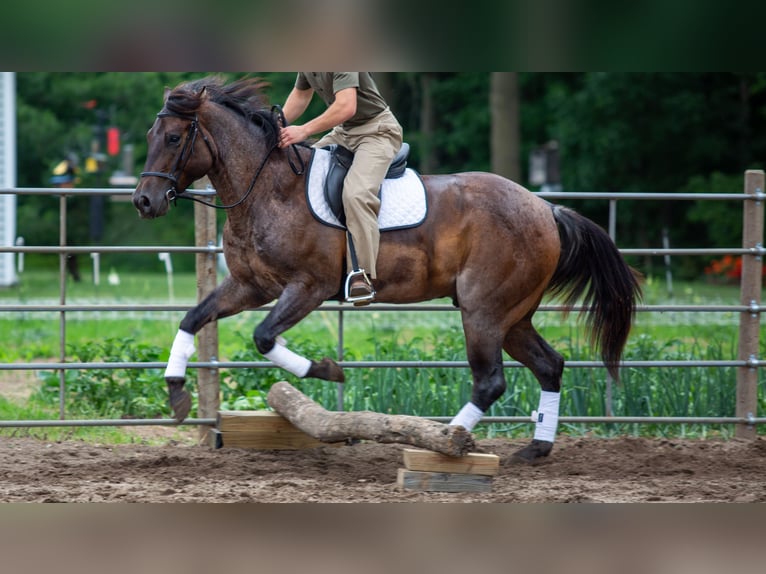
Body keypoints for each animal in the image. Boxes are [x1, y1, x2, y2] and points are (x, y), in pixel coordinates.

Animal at [133, 76, 641, 463]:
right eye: (150, 137)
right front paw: (176, 393)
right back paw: (534, 449)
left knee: (491, 381)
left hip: (483, 311)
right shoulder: (249, 285)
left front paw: (327, 370)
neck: (267, 188)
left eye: (174, 138)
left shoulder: (308, 287)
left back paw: (445, 442)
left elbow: (263, 337)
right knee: (549, 365)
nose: (144, 202)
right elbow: (192, 318)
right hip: (512, 316)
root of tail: (545, 208)